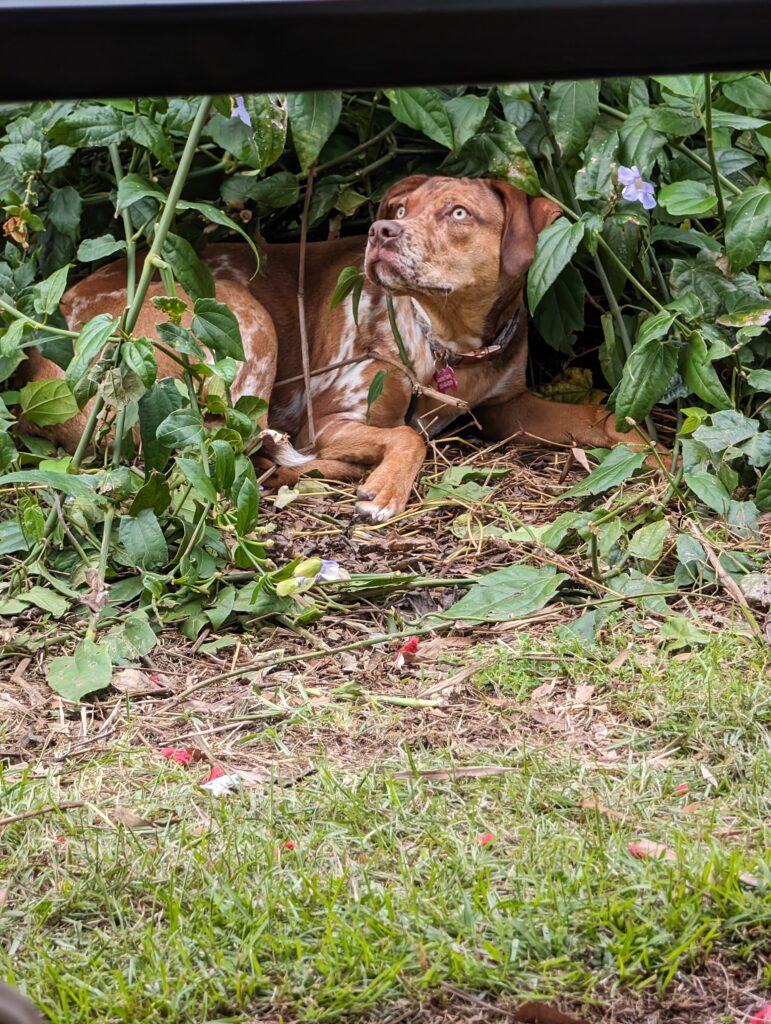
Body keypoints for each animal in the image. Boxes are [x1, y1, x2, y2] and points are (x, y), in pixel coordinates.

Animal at [25, 174, 643, 520]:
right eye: (400, 211)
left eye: (458, 213)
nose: (380, 233)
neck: (446, 344)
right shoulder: (331, 418)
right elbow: (406, 436)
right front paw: (386, 488)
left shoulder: (506, 408)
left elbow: (602, 416)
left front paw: (647, 448)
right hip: (239, 318)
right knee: (234, 448)